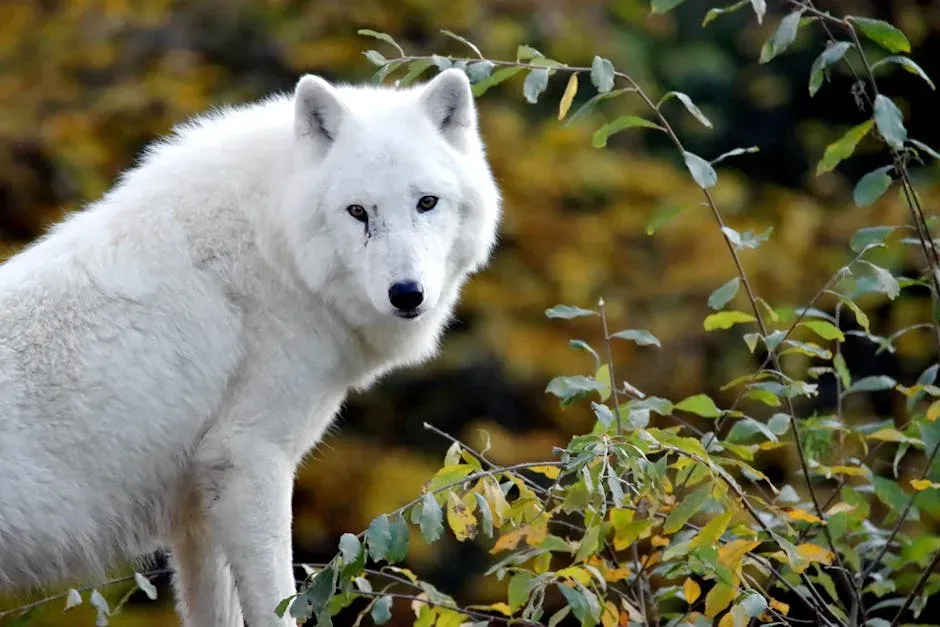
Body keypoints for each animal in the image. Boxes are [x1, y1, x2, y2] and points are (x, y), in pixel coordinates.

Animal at [0, 67, 501, 626]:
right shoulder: (248, 461)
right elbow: (274, 607)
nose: (407, 293)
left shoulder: (196, 516)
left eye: (426, 202)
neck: (275, 250)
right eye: (358, 212)